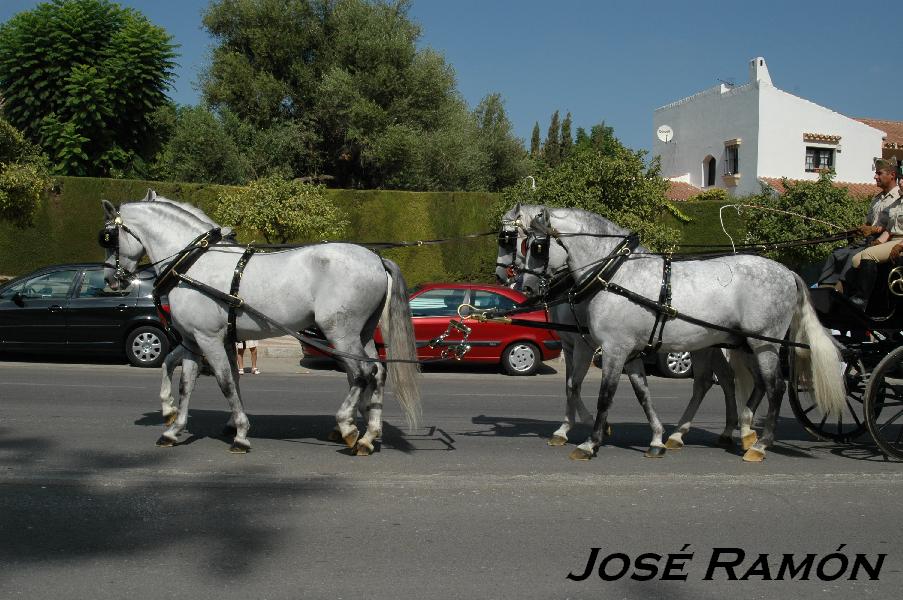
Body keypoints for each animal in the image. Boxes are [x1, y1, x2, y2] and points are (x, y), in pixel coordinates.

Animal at [101, 196, 420, 454]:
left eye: (108, 236)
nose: (110, 280)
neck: (194, 264)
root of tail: (376, 259)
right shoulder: (195, 341)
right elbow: (185, 381)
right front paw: (173, 426)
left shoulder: (209, 339)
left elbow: (226, 382)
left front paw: (240, 434)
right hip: (361, 335)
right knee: (377, 372)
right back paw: (369, 433)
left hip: (340, 334)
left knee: (363, 373)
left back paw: (348, 426)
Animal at [494, 204, 740, 452]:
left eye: (531, 246)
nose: (523, 285)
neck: (606, 274)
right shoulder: (575, 344)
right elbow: (576, 385)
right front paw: (569, 428)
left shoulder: (589, 344)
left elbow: (577, 385)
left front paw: (591, 428)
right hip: (711, 344)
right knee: (724, 378)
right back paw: (721, 430)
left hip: (703, 345)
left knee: (705, 381)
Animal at [520, 209, 844, 462]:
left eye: (537, 247)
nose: (524, 287)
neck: (615, 274)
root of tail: (788, 272)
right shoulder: (631, 351)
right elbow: (643, 394)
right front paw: (657, 440)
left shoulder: (614, 349)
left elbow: (604, 396)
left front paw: (591, 443)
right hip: (745, 345)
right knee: (750, 384)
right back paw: (740, 429)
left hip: (764, 343)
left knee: (775, 387)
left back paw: (760, 445)